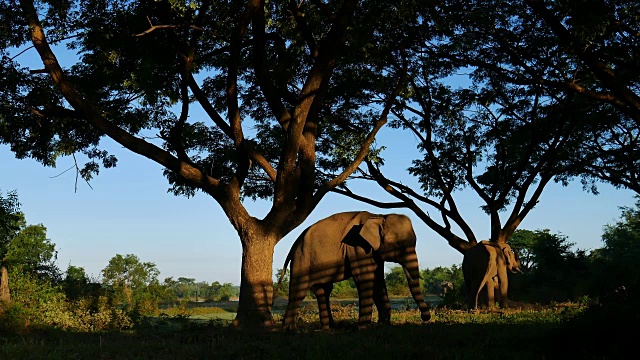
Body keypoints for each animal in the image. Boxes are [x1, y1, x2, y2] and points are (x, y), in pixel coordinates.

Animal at [278, 211, 430, 332]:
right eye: (397, 244)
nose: (425, 317)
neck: (379, 215)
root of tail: (296, 242)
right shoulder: (358, 247)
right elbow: (365, 277)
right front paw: (363, 328)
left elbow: (378, 280)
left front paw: (384, 325)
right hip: (302, 259)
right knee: (299, 291)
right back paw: (289, 331)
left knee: (323, 290)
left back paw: (328, 329)